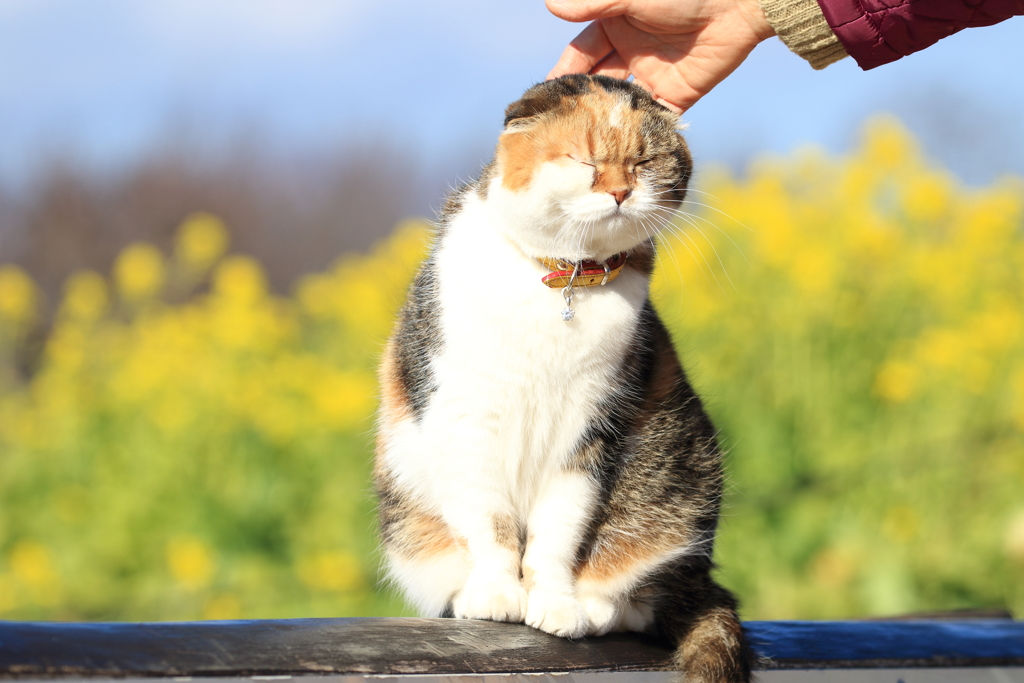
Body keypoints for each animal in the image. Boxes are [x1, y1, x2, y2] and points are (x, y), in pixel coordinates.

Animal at [374, 74, 753, 683]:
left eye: (645, 161)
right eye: (584, 160)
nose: (621, 192)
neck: (564, 280)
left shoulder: (590, 430)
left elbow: (559, 531)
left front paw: (555, 603)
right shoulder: (464, 417)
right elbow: (489, 523)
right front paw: (496, 594)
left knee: (639, 600)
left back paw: (593, 606)